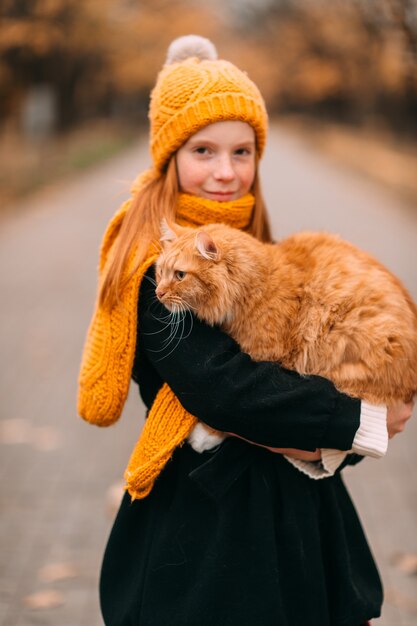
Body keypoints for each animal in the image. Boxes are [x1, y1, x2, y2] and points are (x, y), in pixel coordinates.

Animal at [155, 222, 416, 450]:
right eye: (160, 271)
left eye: (180, 275)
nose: (158, 293)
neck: (256, 286)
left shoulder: (268, 357)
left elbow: (232, 413)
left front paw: (206, 435)